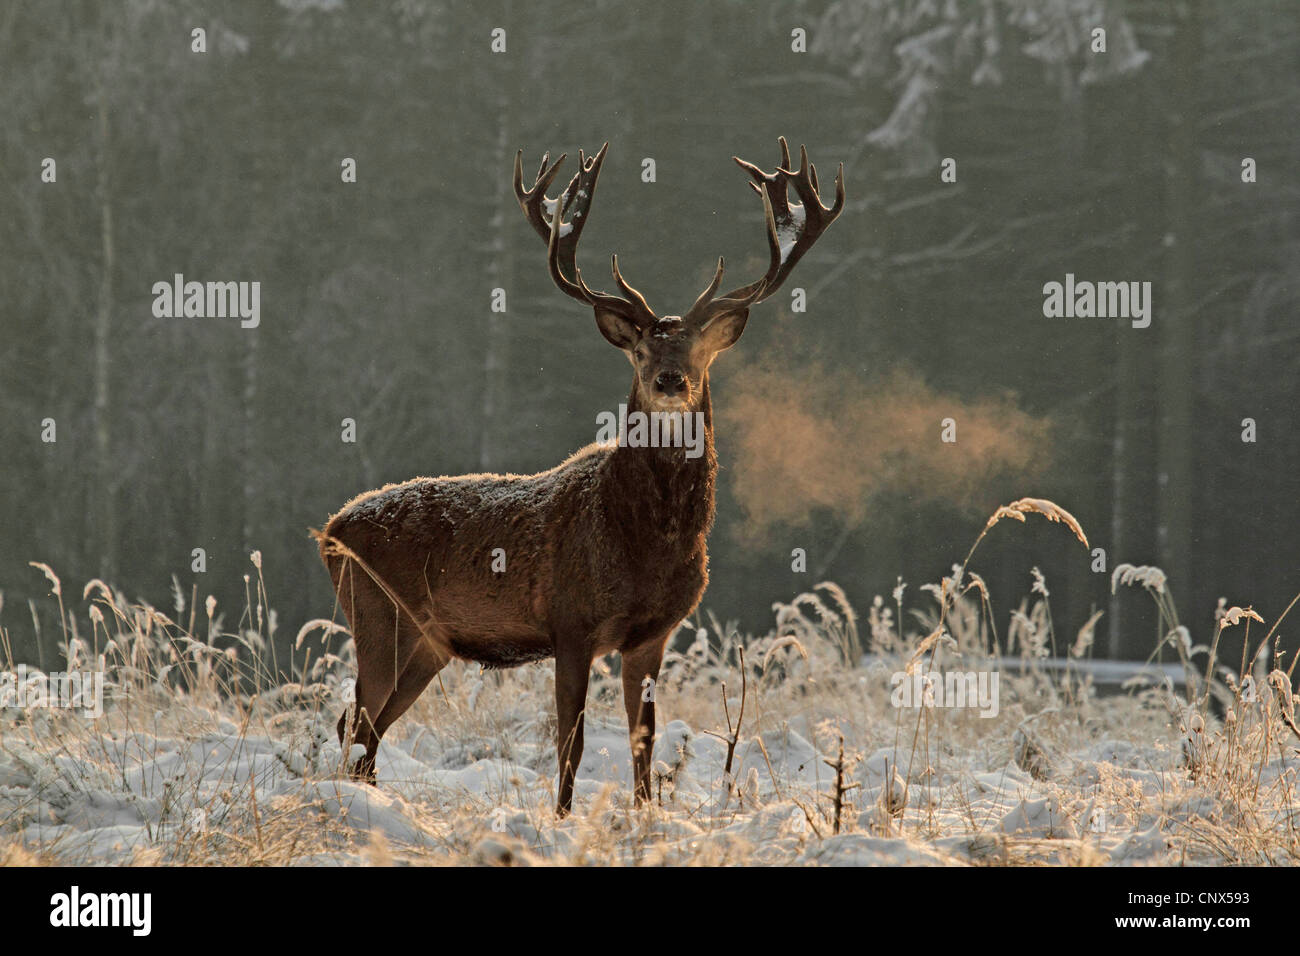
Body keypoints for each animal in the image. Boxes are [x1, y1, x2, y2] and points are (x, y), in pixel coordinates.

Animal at [314, 138, 842, 816]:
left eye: (698, 349)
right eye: (640, 349)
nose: (670, 380)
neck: (645, 542)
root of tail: (331, 528)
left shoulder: (652, 637)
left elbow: (644, 739)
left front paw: (644, 815)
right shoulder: (570, 622)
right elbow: (573, 739)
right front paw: (562, 817)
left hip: (430, 643)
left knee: (367, 728)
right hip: (376, 613)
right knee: (355, 722)